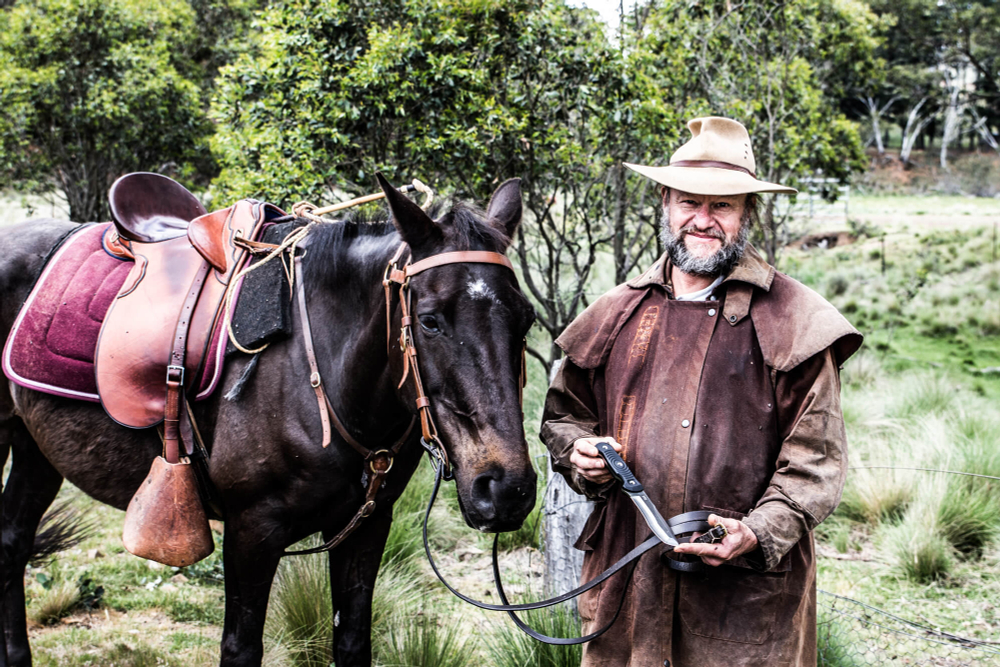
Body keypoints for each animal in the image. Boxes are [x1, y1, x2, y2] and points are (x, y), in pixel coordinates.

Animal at [0, 179, 540, 667]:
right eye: (429, 321)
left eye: (526, 320)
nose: (505, 489)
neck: (324, 373)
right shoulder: (251, 531)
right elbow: (240, 649)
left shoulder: (367, 525)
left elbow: (352, 641)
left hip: (35, 450)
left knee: (12, 540)